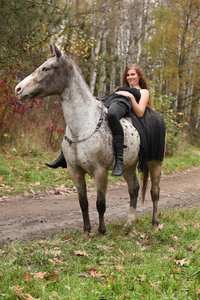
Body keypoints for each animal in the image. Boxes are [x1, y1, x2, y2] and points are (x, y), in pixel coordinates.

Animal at [15, 44, 162, 237]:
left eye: (46, 68)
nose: (18, 89)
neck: (83, 126)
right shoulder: (75, 172)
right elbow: (83, 202)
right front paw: (86, 230)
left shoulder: (100, 172)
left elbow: (100, 204)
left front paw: (101, 231)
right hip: (129, 166)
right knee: (134, 189)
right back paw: (129, 223)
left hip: (155, 163)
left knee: (154, 192)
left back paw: (155, 224)